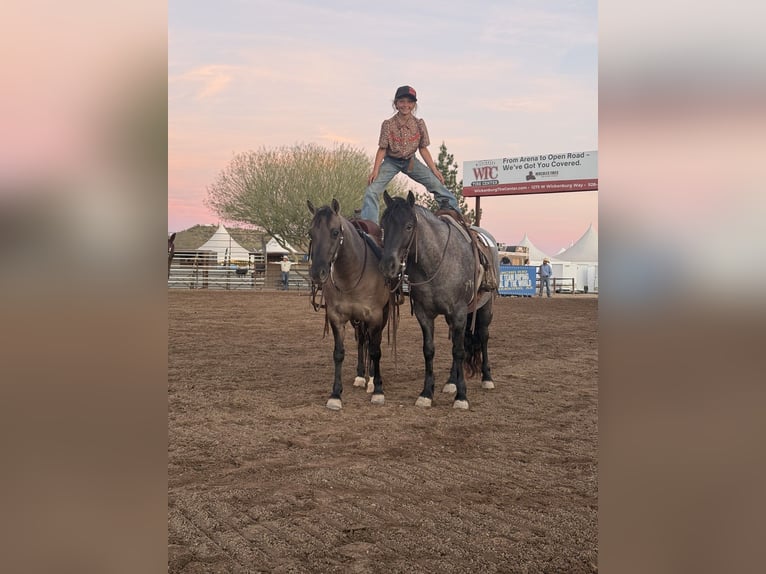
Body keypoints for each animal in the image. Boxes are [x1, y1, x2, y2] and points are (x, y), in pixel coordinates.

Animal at [307, 199, 391, 410]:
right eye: (310, 233)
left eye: (335, 232)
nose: (317, 273)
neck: (352, 274)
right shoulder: (337, 317)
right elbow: (339, 353)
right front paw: (335, 395)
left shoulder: (375, 317)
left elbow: (375, 350)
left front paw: (378, 390)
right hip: (357, 320)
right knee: (362, 341)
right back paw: (361, 376)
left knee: (373, 344)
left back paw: (371, 380)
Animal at [379, 190, 499, 409]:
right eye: (383, 226)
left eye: (409, 226)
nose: (387, 266)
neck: (436, 263)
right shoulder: (424, 314)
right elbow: (430, 350)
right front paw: (427, 393)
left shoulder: (459, 313)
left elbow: (459, 351)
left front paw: (462, 396)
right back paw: (451, 381)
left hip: (486, 308)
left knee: (483, 337)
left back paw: (487, 378)